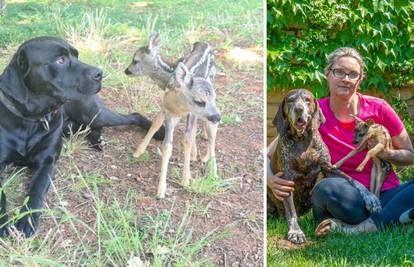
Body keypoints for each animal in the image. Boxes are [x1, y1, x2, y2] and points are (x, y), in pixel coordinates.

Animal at [0, 36, 103, 239]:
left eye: (76, 55)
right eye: (60, 60)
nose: (100, 73)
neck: (31, 120)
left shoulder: (47, 162)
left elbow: (36, 190)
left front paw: (27, 220)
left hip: (92, 113)